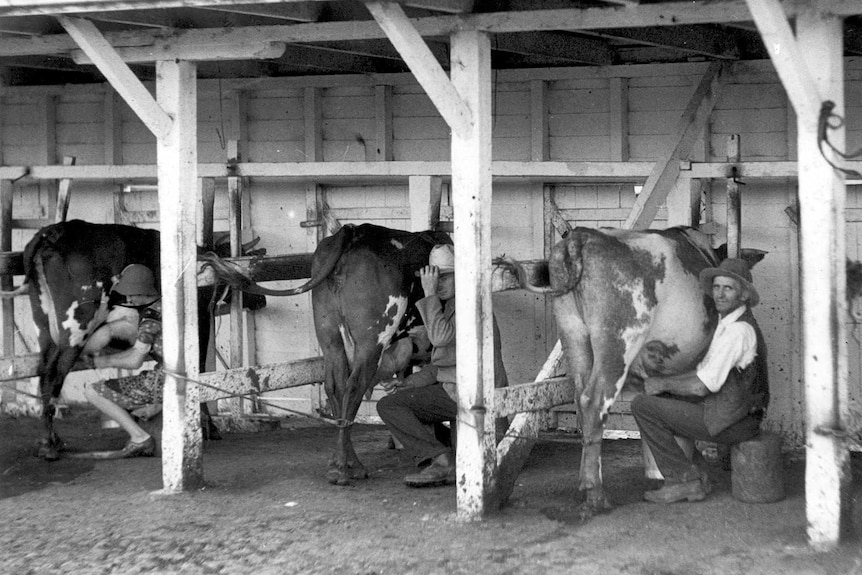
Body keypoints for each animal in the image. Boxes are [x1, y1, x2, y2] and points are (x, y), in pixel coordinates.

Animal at [5, 218, 264, 462]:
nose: (261, 299)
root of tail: (55, 231)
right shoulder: (200, 321)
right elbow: (198, 370)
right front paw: (207, 426)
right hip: (77, 325)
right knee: (54, 374)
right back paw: (49, 445)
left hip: (44, 325)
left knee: (43, 370)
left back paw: (53, 441)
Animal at [510, 227, 768, 520]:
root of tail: (583, 235)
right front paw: (697, 474)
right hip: (619, 342)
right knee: (595, 402)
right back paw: (596, 493)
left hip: (573, 334)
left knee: (580, 398)